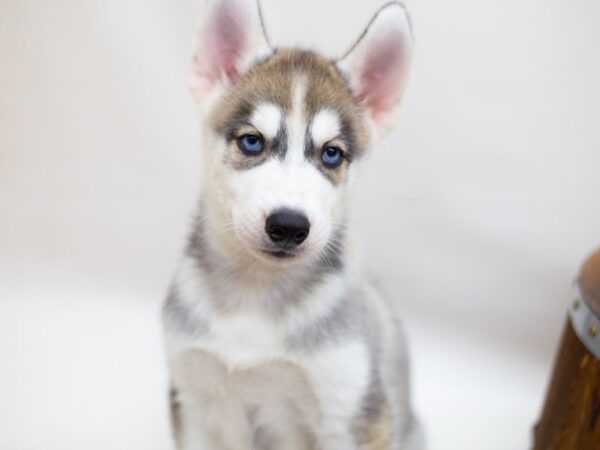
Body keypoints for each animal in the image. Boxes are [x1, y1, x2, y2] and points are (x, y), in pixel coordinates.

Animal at [162, 1, 420, 448]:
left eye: (332, 154)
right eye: (251, 141)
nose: (288, 225)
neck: (255, 293)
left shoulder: (352, 415)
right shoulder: (192, 398)